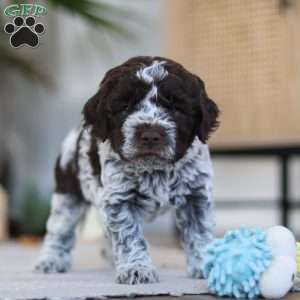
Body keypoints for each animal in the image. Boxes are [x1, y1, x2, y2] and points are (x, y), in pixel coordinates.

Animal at [34, 55, 220, 284]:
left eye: (176, 108)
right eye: (124, 107)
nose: (150, 135)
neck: (156, 170)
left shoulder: (196, 195)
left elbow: (199, 232)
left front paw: (206, 264)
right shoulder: (120, 199)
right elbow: (130, 237)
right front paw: (136, 268)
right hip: (68, 194)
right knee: (59, 229)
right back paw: (51, 259)